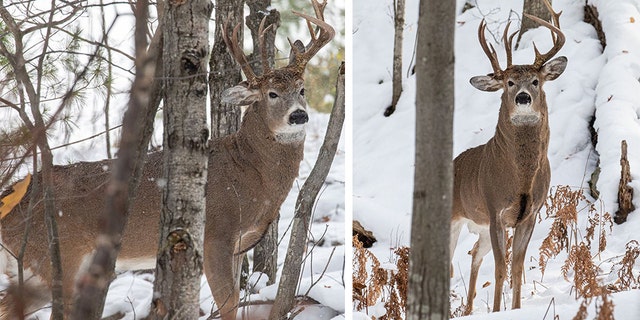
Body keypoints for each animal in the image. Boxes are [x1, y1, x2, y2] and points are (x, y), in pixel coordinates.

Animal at [0, 1, 336, 318]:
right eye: (271, 94)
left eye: (302, 90)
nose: (299, 115)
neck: (250, 173)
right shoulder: (215, 234)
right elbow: (228, 305)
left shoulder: (241, 245)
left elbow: (237, 300)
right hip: (56, 258)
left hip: (31, 270)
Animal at [452, 0, 568, 316]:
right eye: (509, 82)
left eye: (536, 81)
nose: (523, 98)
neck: (521, 179)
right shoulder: (495, 211)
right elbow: (500, 269)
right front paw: (495, 311)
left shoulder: (531, 214)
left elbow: (516, 268)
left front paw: (515, 309)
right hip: (454, 217)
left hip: (479, 229)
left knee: (474, 255)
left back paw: (468, 309)